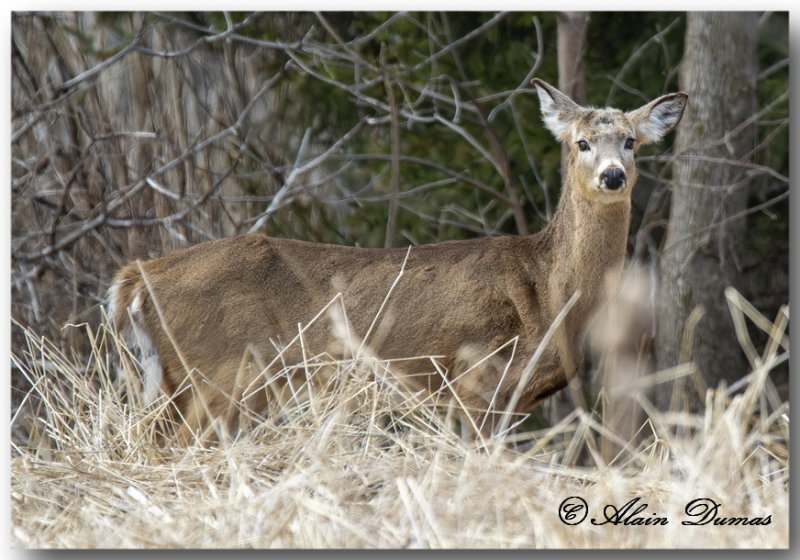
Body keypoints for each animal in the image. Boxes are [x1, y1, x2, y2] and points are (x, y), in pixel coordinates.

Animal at [106, 80, 688, 446]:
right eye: (582, 142)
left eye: (630, 141)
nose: (613, 175)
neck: (546, 289)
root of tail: (134, 280)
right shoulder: (475, 377)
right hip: (224, 371)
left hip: (180, 380)